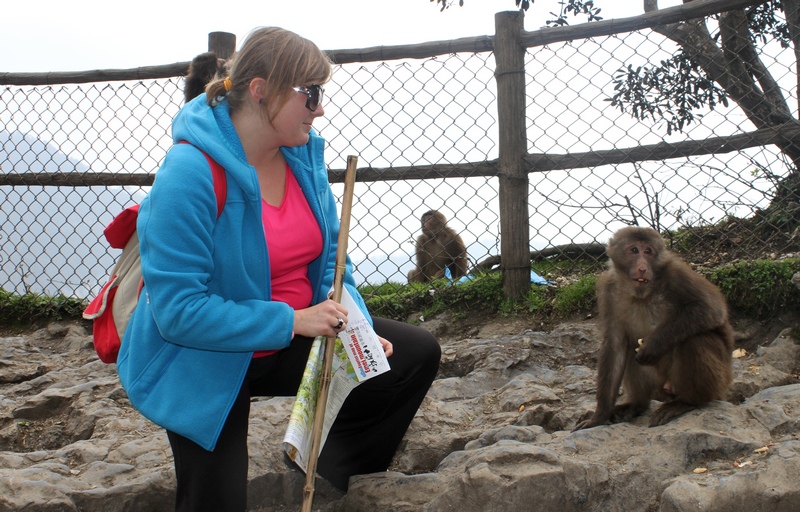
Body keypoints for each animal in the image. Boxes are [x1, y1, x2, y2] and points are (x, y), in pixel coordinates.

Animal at [572, 226, 736, 430]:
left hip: (719, 380)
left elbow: (710, 308)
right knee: (631, 348)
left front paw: (653, 345)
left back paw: (688, 402)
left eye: (648, 251)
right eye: (634, 250)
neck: (641, 292)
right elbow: (616, 346)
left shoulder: (676, 274)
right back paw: (636, 405)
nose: (643, 267)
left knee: (696, 339)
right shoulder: (608, 290)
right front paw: (600, 416)